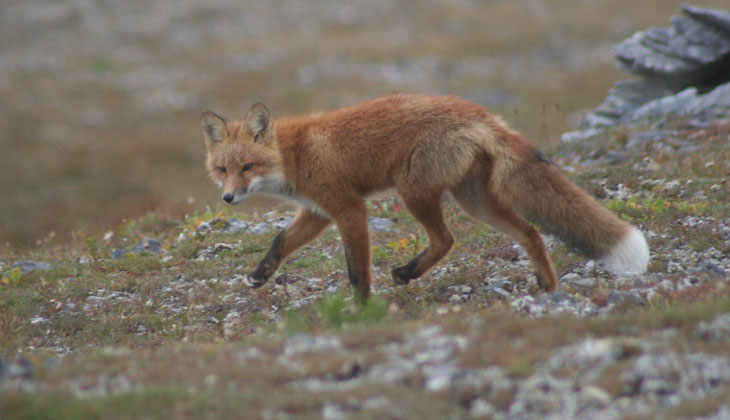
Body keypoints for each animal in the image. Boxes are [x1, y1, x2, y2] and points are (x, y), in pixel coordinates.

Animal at [201, 94, 649, 303]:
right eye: (222, 169)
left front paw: (362, 310)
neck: (294, 155)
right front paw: (259, 275)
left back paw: (407, 273)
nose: (228, 198)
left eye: (248, 167)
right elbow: (280, 241)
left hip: (414, 192)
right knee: (531, 233)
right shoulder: (318, 212)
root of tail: (479, 113)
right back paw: (548, 288)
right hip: (473, 200)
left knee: (446, 239)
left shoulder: (349, 208)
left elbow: (356, 270)